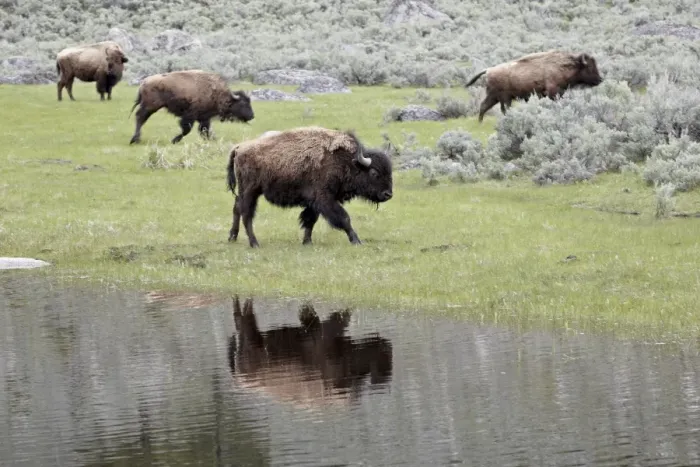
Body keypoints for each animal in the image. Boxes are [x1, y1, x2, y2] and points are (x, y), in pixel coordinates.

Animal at [226, 126, 393, 247]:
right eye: (374, 172)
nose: (388, 194)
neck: (346, 161)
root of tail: (239, 147)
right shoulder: (325, 199)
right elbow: (344, 218)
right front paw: (356, 240)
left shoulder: (313, 202)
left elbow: (309, 220)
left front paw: (307, 242)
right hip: (250, 191)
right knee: (246, 214)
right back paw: (254, 243)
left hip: (245, 191)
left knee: (237, 208)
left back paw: (232, 237)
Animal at [465, 50, 603, 122]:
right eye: (590, 67)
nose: (600, 79)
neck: (564, 66)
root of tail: (488, 70)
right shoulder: (553, 92)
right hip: (504, 98)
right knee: (502, 109)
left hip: (494, 97)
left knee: (484, 106)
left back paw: (480, 123)